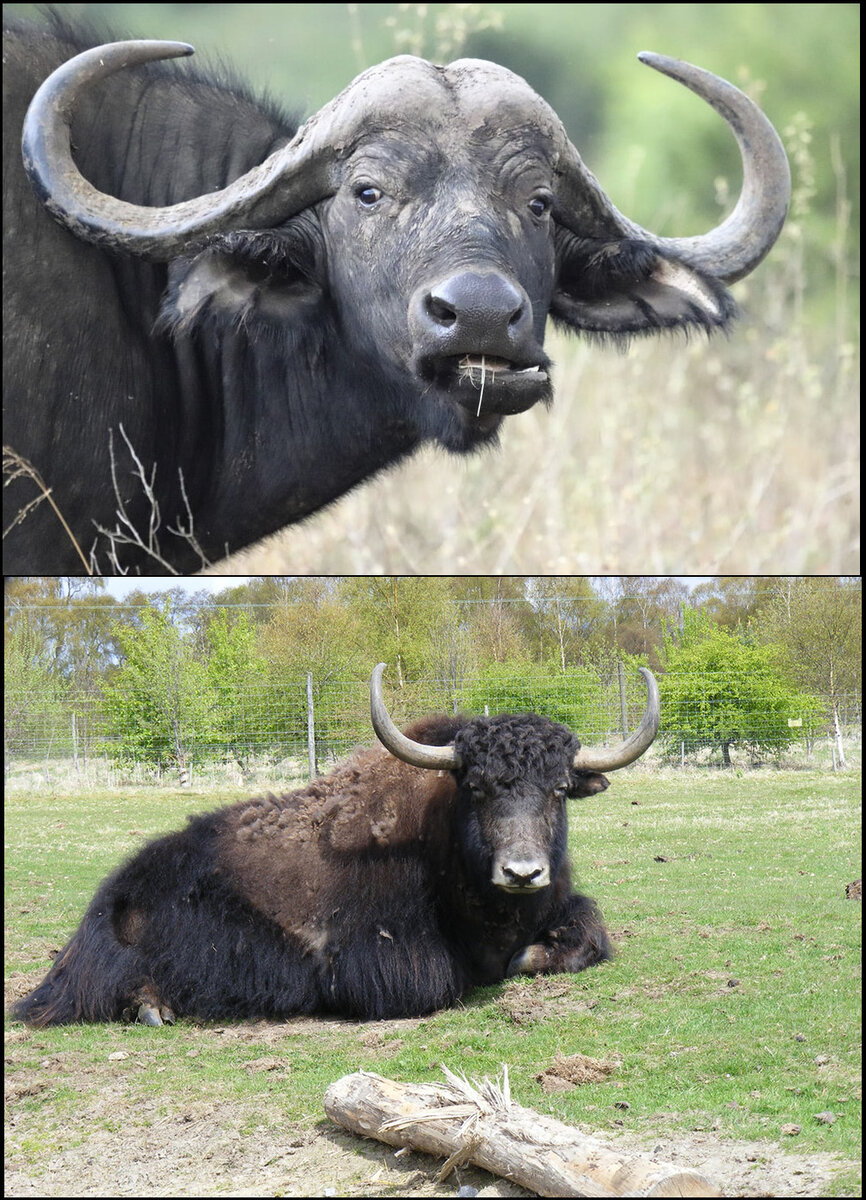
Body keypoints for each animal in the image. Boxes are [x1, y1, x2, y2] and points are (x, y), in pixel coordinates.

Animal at [10, 667, 657, 1022]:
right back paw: (154, 1007)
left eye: (559, 789)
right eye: (475, 787)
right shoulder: (383, 962)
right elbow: (444, 979)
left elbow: (589, 934)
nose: (522, 873)